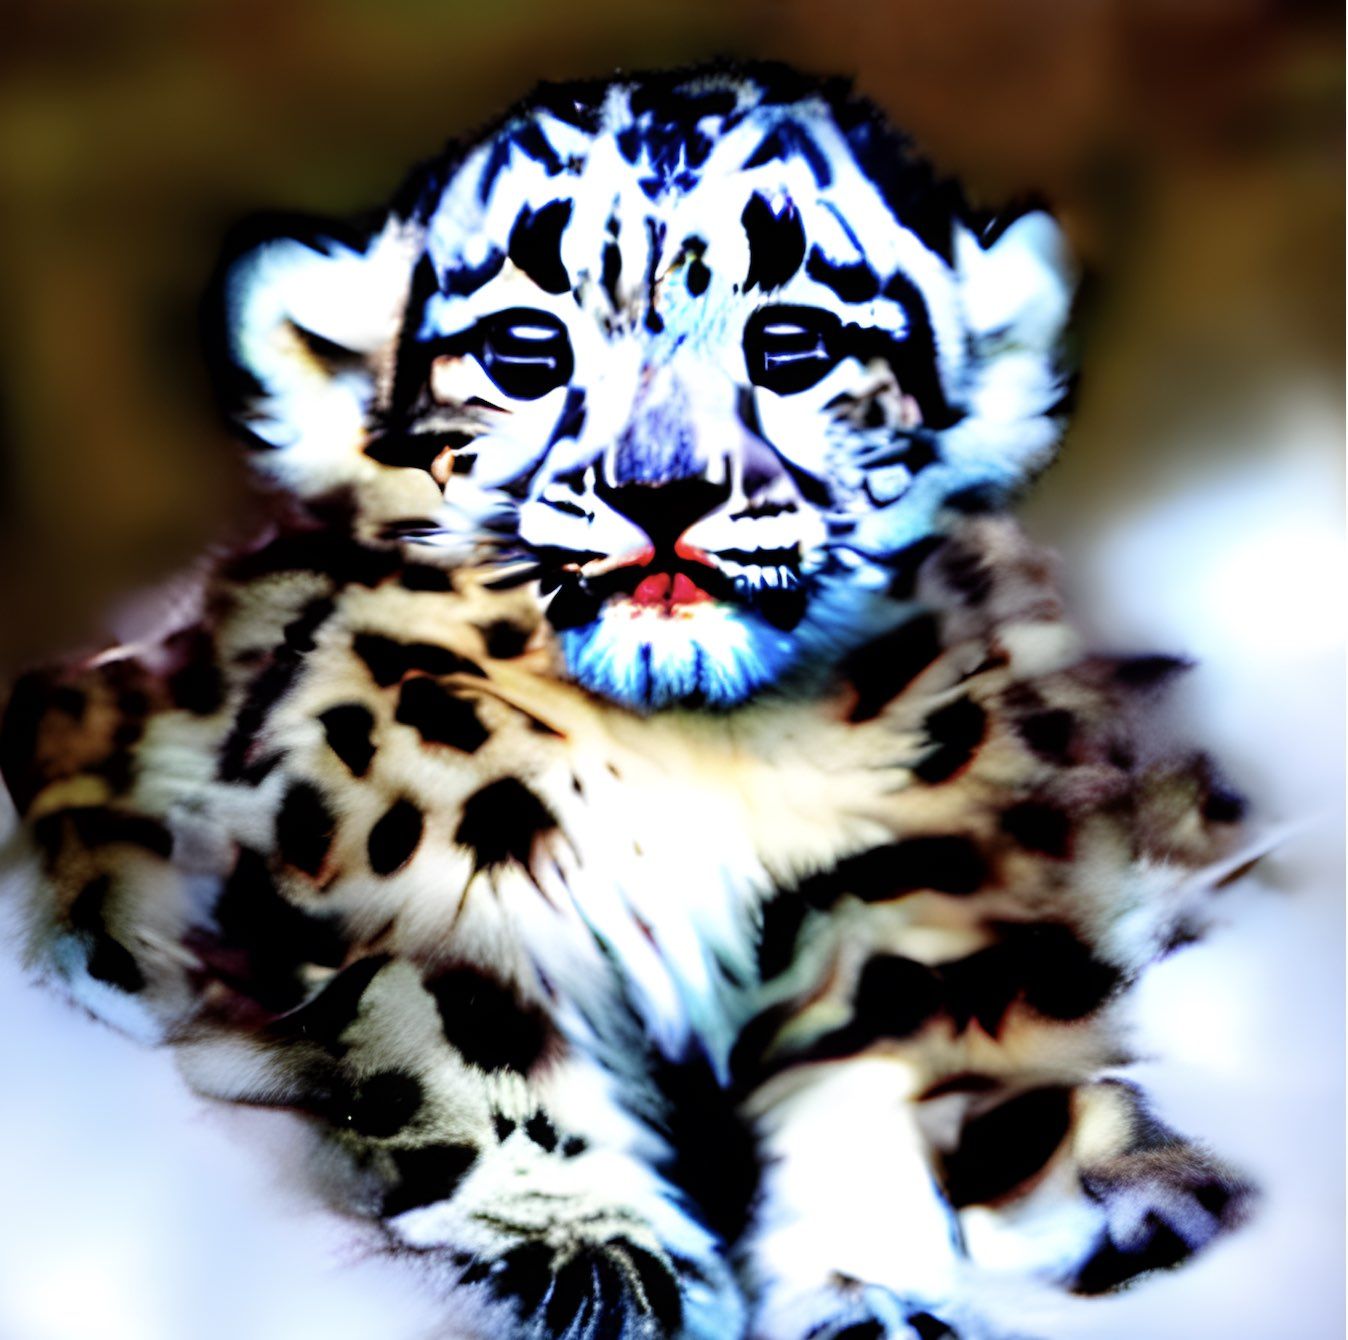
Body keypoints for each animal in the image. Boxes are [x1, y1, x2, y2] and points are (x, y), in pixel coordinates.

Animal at [0, 62, 1258, 1340]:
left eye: (792, 344)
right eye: (523, 350)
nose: (663, 489)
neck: (704, 749)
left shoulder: (919, 877)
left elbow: (884, 1062)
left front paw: (872, 1282)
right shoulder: (409, 849)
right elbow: (465, 1018)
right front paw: (583, 1245)